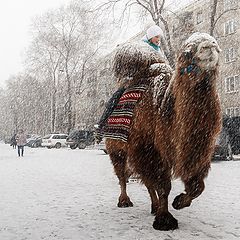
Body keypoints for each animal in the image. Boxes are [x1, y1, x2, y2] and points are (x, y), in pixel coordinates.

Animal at [106, 32, 222, 231]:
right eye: (186, 52)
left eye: (215, 42)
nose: (209, 45)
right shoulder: (150, 149)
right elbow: (163, 186)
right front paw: (165, 220)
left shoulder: (196, 154)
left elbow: (197, 186)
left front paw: (179, 202)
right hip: (116, 147)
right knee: (122, 175)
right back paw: (124, 201)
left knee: (145, 180)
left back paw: (153, 206)